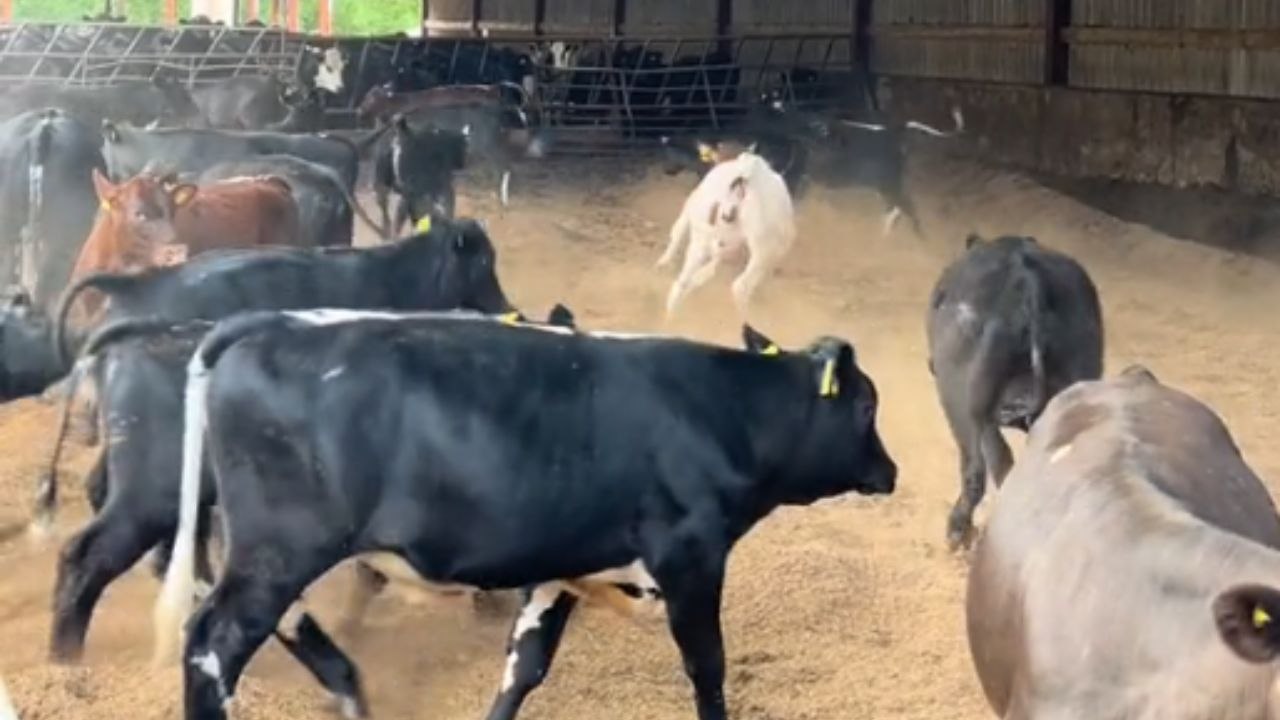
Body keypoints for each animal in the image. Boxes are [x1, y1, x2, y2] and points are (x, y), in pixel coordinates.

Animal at [153, 315, 895, 720]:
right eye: (866, 405)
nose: (889, 471)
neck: (720, 411)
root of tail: (266, 329)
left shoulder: (561, 568)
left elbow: (524, 666)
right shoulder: (692, 558)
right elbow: (706, 665)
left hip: (265, 554)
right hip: (278, 553)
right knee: (214, 643)